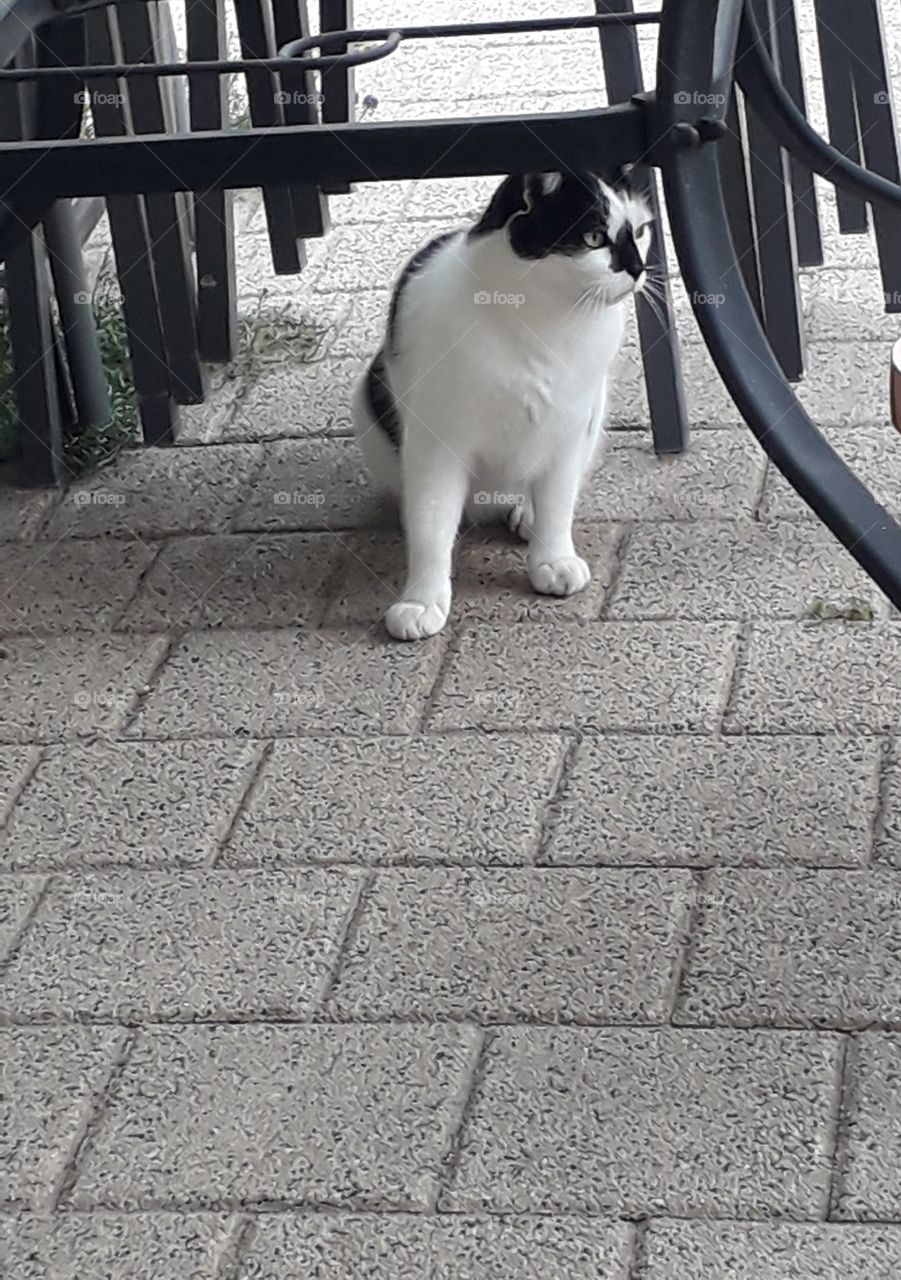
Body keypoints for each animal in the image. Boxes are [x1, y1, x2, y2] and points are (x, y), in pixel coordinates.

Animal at [348, 170, 650, 640]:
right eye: (594, 237)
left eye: (638, 232)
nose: (637, 269)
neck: (544, 322)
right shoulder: (437, 446)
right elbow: (432, 526)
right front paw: (421, 602)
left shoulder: (568, 430)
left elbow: (557, 503)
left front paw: (553, 560)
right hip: (370, 410)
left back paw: (526, 513)